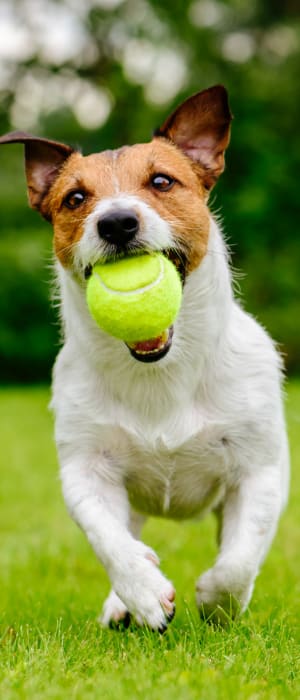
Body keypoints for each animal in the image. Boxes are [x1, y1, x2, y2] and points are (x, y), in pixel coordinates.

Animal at [0, 86, 290, 628]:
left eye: (161, 181)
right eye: (75, 198)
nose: (116, 222)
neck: (160, 372)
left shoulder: (260, 470)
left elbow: (240, 557)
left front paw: (217, 600)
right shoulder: (86, 469)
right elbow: (108, 539)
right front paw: (142, 591)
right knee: (128, 533)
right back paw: (123, 602)